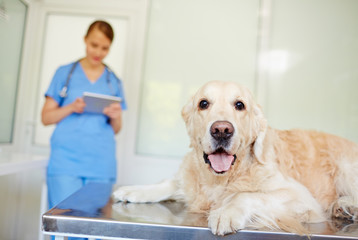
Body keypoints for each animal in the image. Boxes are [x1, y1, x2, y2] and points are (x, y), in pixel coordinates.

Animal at [114, 81, 358, 235]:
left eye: (239, 105)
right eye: (203, 103)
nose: (222, 130)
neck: (221, 178)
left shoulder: (300, 198)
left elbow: (245, 195)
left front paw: (226, 212)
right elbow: (168, 183)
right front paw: (133, 190)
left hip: (345, 166)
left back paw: (346, 206)